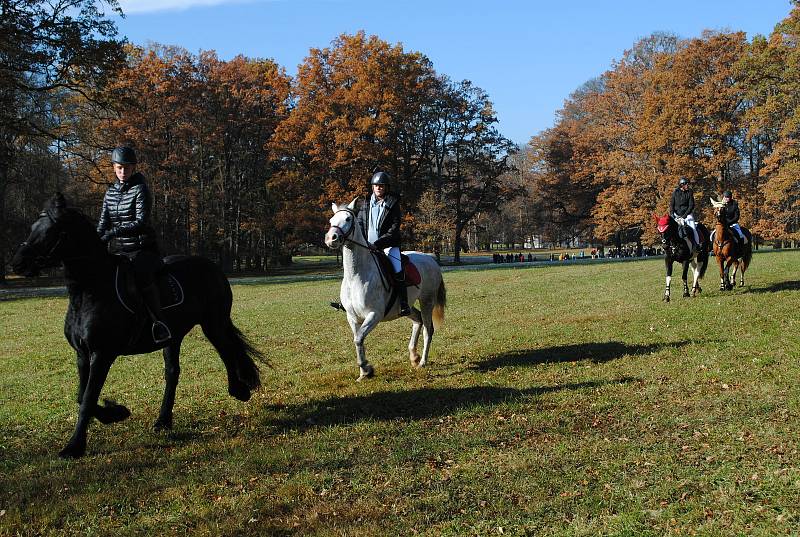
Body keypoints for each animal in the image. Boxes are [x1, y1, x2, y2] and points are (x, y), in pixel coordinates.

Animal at [11, 193, 262, 456]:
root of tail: (212, 267)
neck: (90, 290)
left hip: (213, 323)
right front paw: (116, 413)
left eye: (51, 231)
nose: (18, 263)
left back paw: (239, 391)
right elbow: (81, 395)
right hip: (173, 336)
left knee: (227, 351)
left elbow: (88, 398)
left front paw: (74, 446)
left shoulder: (102, 353)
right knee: (173, 372)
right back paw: (163, 420)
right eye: (33, 227)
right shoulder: (82, 353)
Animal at [326, 199, 450, 378]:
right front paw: (364, 372)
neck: (356, 276)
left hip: (427, 301)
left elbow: (359, 338)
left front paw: (366, 367)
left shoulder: (374, 315)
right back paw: (413, 356)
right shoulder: (352, 317)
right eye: (331, 221)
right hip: (405, 307)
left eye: (348, 219)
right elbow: (358, 340)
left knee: (428, 329)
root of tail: (430, 258)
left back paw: (422, 362)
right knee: (418, 320)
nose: (331, 238)